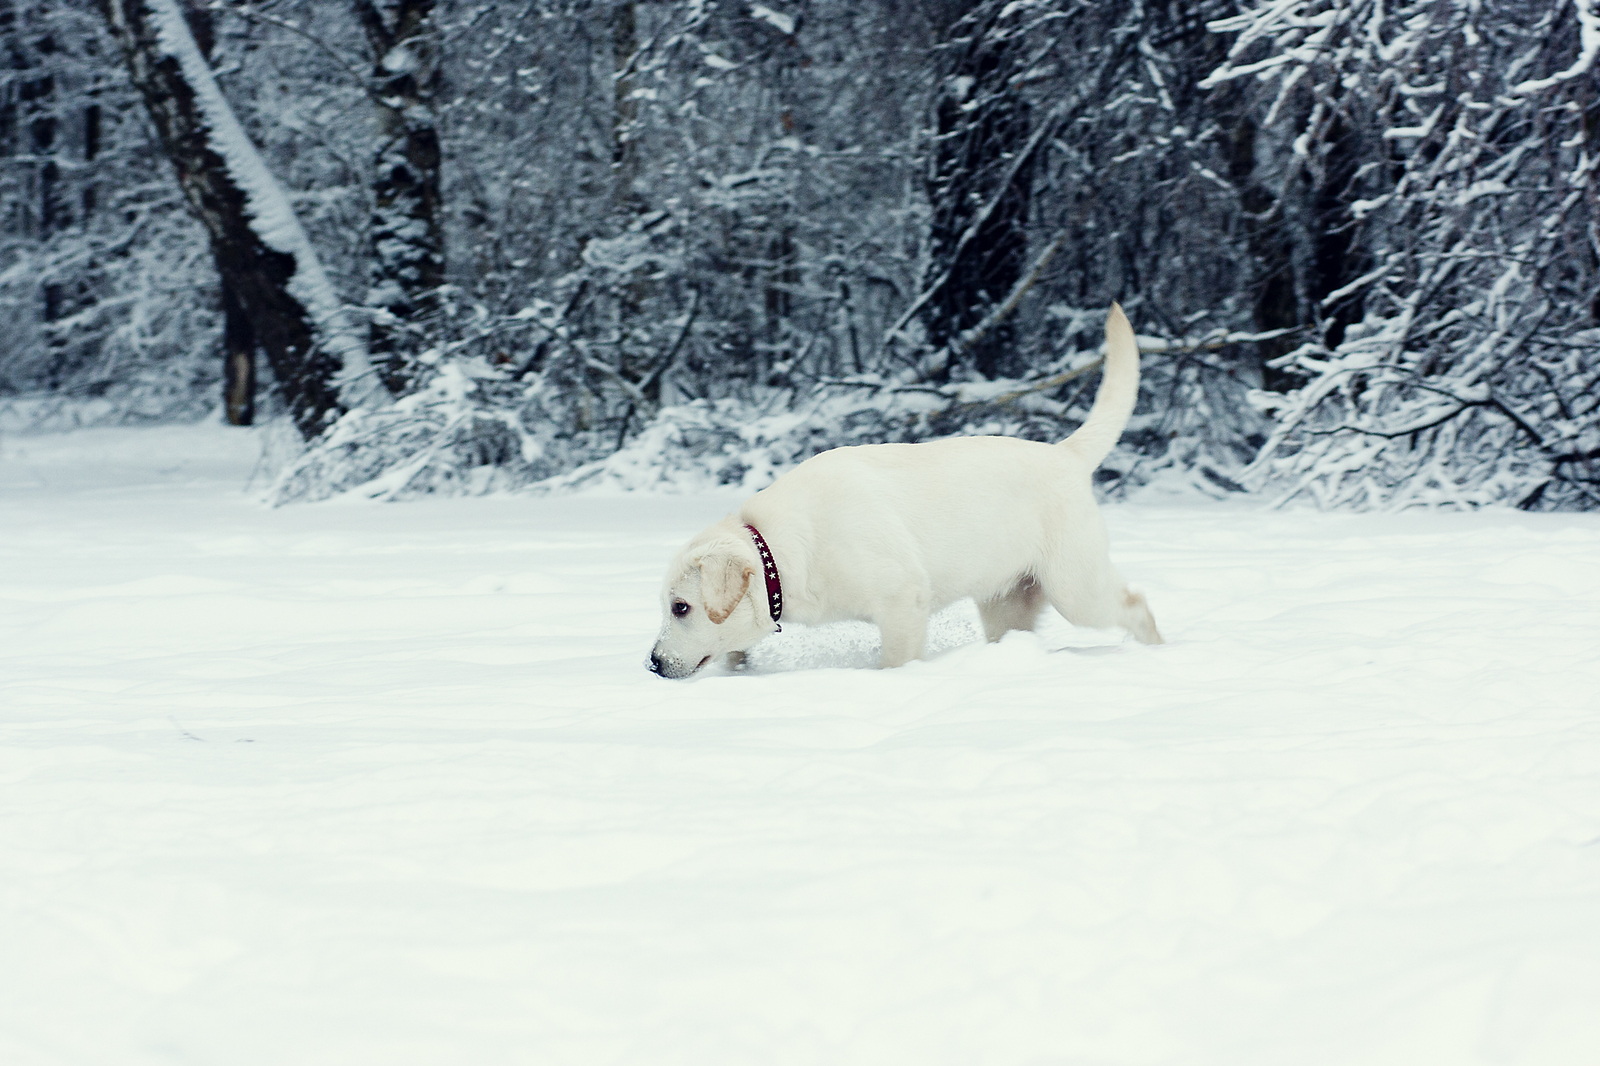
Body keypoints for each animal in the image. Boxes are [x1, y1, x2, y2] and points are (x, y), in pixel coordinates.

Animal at [649, 302, 1164, 675]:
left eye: (681, 607)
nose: (651, 663)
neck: (779, 551)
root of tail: (1065, 454)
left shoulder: (902, 600)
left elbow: (895, 661)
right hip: (1006, 602)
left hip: (1076, 588)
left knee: (1137, 606)